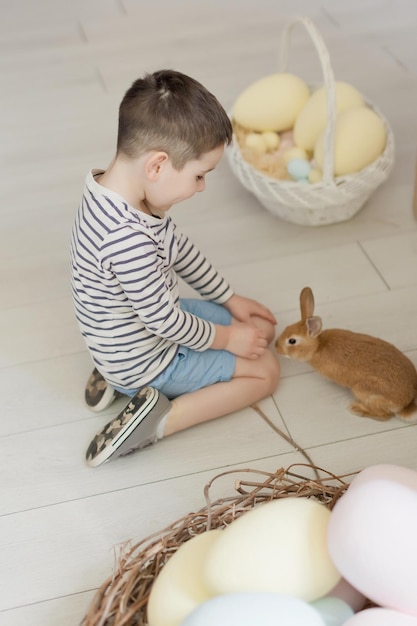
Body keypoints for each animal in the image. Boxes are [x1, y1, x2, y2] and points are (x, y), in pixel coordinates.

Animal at [272, 286, 416, 420]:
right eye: (286, 328)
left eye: (292, 341)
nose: (276, 346)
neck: (318, 346)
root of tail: (406, 401)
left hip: (363, 390)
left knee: (385, 415)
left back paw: (357, 409)